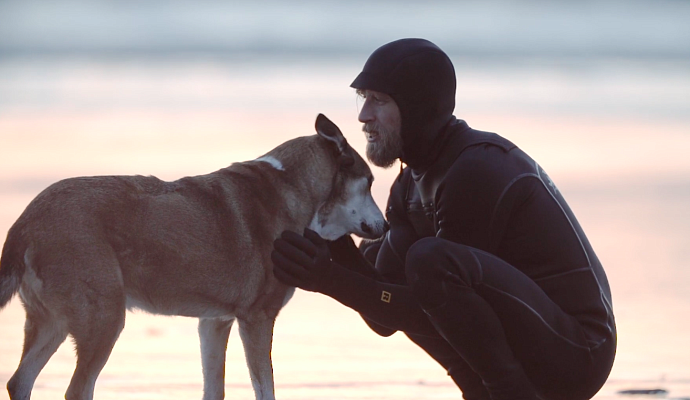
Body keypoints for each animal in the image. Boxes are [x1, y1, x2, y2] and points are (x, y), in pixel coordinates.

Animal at [0, 113, 388, 400]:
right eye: (369, 182)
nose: (386, 227)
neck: (294, 188)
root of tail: (25, 222)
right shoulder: (257, 319)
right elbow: (265, 389)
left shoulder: (214, 322)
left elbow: (214, 389)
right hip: (103, 319)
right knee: (76, 390)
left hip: (53, 322)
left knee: (19, 381)